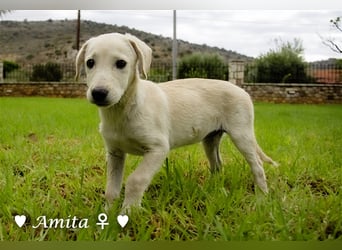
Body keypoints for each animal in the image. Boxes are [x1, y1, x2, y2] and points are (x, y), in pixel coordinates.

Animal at [75, 32, 278, 213]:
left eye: (121, 63)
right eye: (90, 63)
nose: (98, 93)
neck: (125, 108)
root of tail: (241, 90)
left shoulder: (158, 149)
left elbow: (136, 180)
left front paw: (129, 212)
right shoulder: (115, 153)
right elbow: (111, 189)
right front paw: (107, 215)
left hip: (241, 134)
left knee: (258, 167)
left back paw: (261, 201)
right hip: (210, 139)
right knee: (218, 166)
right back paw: (214, 192)